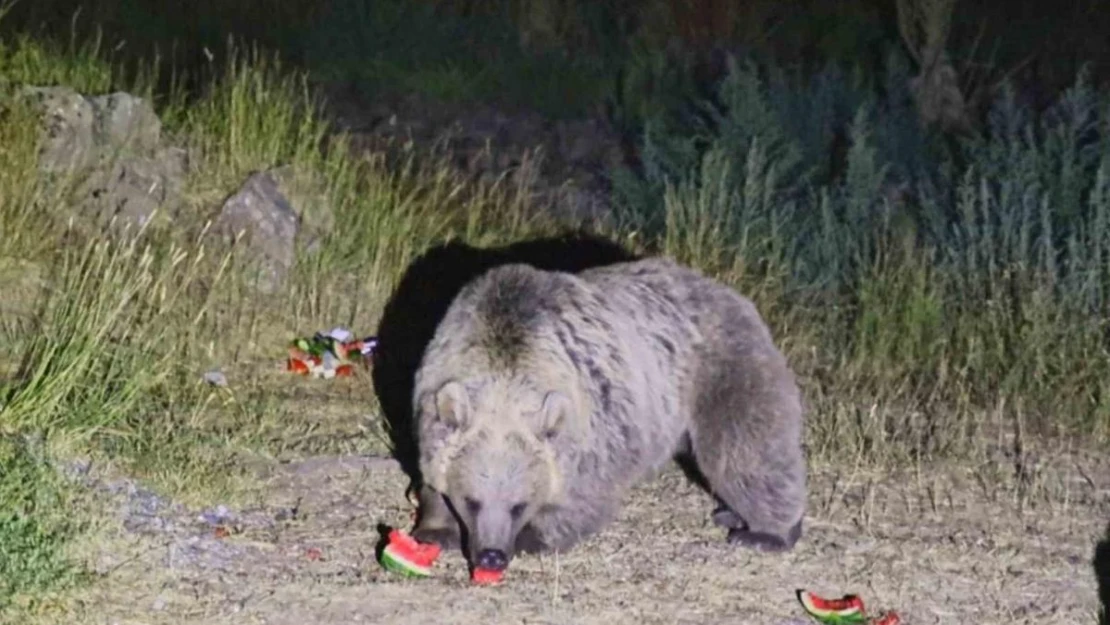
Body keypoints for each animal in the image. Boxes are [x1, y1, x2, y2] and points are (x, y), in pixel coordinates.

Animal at [408, 255, 808, 577]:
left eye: (518, 504)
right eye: (471, 501)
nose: (491, 556)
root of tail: (729, 292)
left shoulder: (594, 421)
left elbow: (585, 492)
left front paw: (534, 536)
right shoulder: (432, 387)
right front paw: (436, 527)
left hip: (724, 371)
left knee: (745, 448)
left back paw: (766, 531)